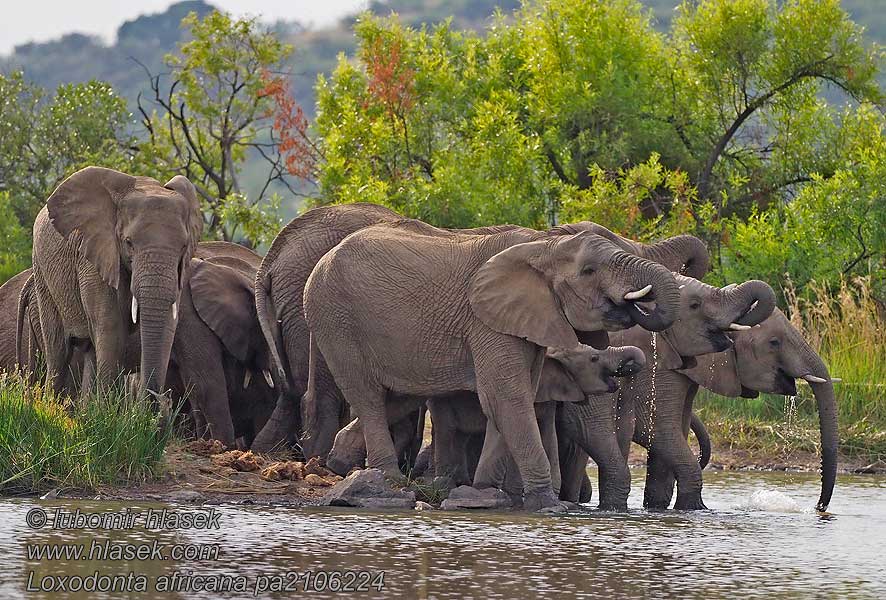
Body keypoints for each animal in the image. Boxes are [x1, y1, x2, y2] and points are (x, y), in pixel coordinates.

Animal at [31, 165, 203, 398]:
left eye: (184, 246)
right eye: (129, 243)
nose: (158, 397)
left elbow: (168, 324)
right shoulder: (94, 257)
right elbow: (110, 327)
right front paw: (107, 407)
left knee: (91, 351)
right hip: (42, 273)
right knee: (58, 351)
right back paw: (49, 402)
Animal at [302, 218, 684, 508]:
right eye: (588, 271)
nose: (635, 302)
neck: (543, 246)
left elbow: (513, 400)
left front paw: (489, 492)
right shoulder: (485, 320)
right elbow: (507, 397)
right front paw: (546, 505)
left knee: (396, 395)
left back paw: (342, 463)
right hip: (335, 318)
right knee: (367, 395)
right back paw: (391, 483)